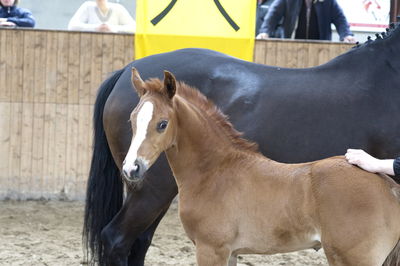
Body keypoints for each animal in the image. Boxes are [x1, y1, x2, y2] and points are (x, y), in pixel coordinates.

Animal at [83, 23, 400, 264]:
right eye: (132, 121)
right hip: (152, 190)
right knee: (118, 239)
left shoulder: (217, 248)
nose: (132, 167)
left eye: (162, 124)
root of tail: (122, 72)